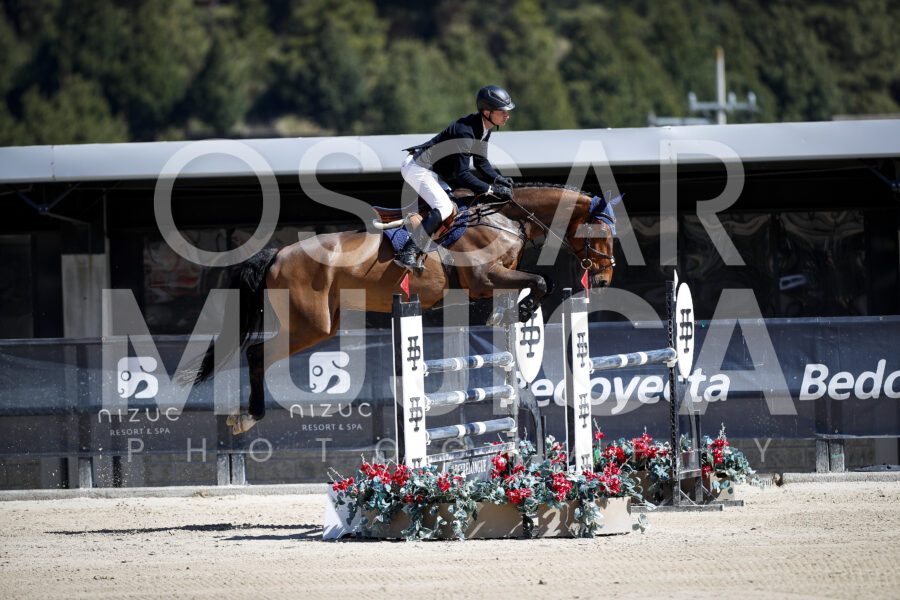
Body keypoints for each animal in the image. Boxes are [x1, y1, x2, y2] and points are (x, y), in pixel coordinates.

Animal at [179, 183, 618, 434]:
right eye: (601, 233)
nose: (603, 279)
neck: (502, 219)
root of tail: (277, 254)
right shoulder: (484, 278)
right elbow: (541, 283)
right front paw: (524, 311)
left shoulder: (497, 278)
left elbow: (534, 285)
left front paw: (515, 315)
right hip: (310, 324)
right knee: (257, 353)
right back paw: (246, 417)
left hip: (322, 322)